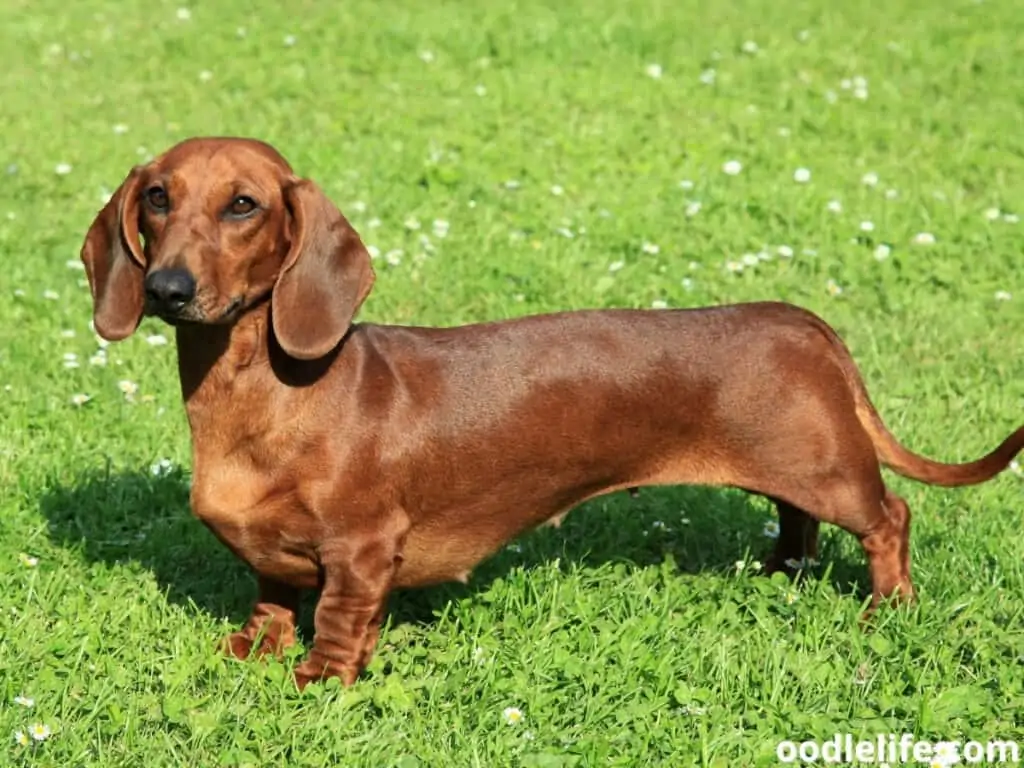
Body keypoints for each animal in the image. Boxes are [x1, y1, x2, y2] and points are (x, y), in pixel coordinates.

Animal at [77, 137, 1024, 692]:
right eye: (157, 197)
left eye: (244, 204)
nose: (166, 290)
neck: (263, 395)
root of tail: (807, 322)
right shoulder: (274, 554)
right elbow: (273, 595)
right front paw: (255, 650)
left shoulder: (363, 548)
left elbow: (341, 619)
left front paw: (320, 681)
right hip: (792, 470)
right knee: (798, 524)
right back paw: (778, 572)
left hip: (827, 469)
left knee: (889, 516)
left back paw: (887, 609)